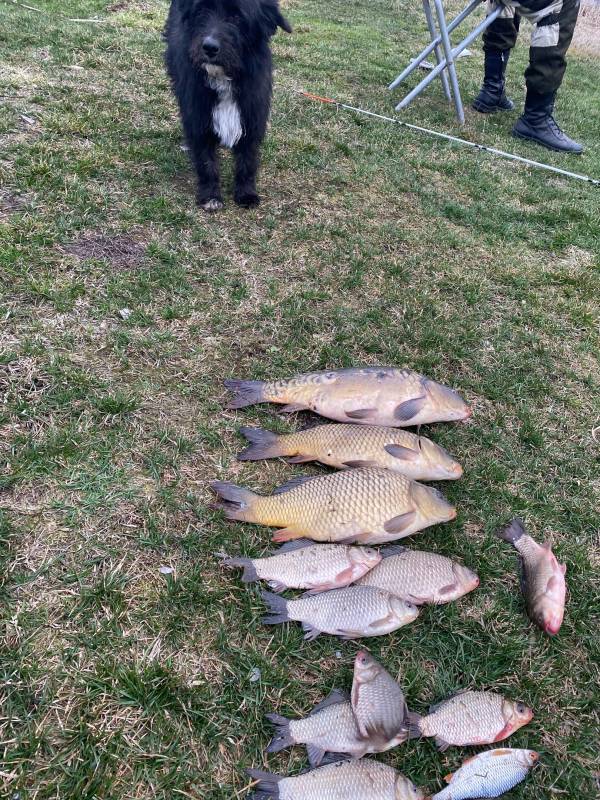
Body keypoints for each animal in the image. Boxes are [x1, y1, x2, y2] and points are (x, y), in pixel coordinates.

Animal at [164, 0, 290, 209]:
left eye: (237, 17)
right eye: (201, 11)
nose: (209, 47)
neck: (224, 77)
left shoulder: (252, 114)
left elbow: (247, 158)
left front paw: (246, 193)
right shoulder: (198, 115)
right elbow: (206, 160)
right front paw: (210, 195)